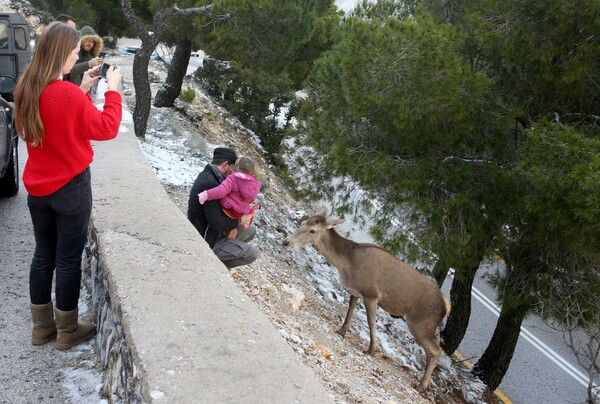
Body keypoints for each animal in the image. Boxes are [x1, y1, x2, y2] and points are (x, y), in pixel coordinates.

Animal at [284, 207, 450, 390]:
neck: (346, 264)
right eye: (302, 223)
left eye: (313, 230)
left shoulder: (371, 294)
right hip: (427, 327)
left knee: (436, 350)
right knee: (431, 351)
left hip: (420, 323)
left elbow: (371, 321)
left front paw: (371, 349)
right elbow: (350, 309)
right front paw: (342, 331)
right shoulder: (355, 292)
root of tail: (446, 304)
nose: (286, 242)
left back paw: (421, 385)